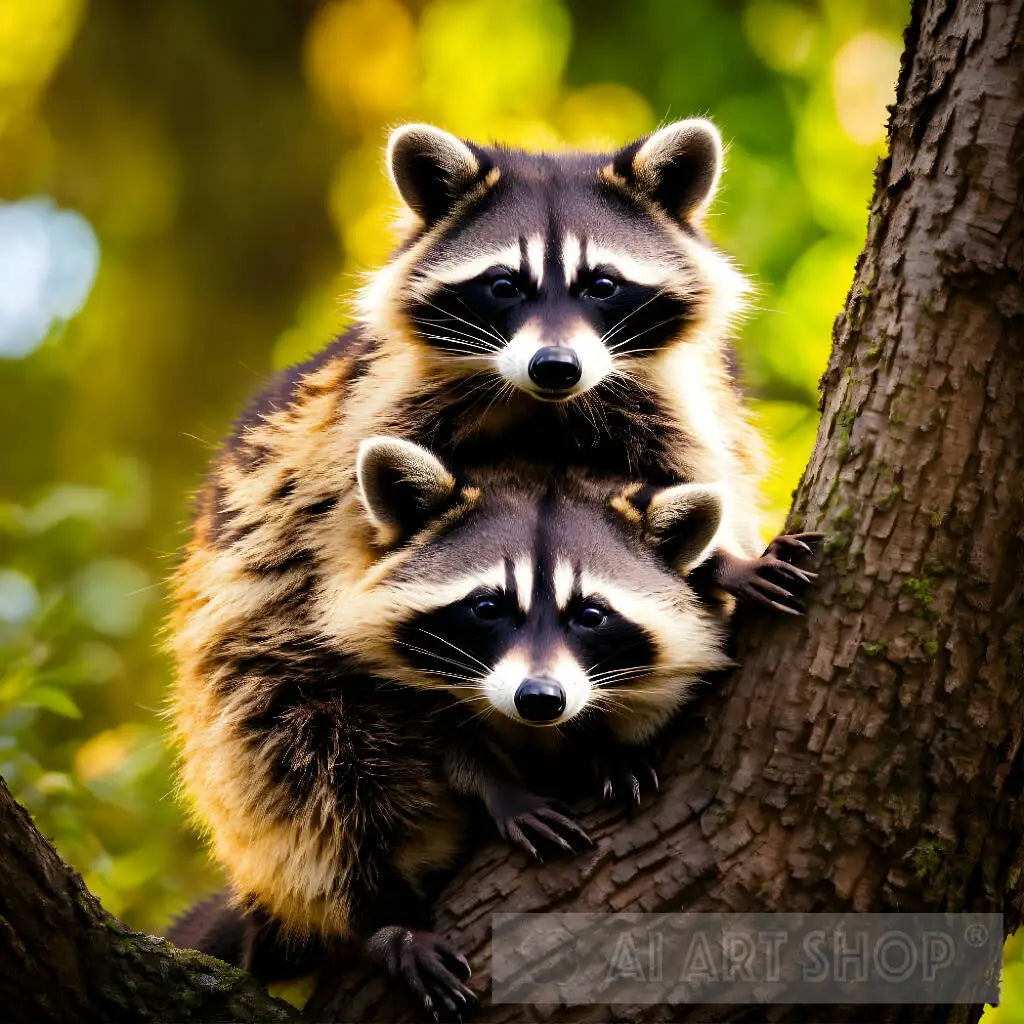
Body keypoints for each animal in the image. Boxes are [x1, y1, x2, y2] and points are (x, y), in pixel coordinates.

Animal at [169, 437, 732, 1011]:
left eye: (590, 616)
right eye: (487, 607)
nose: (540, 700)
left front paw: (599, 743)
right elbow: (424, 746)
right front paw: (498, 788)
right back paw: (383, 917)